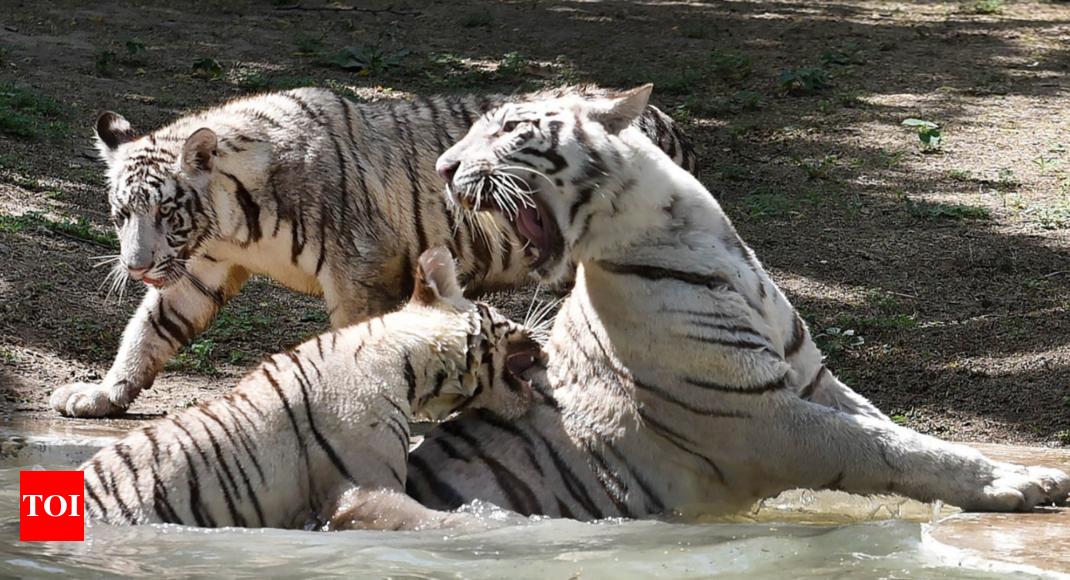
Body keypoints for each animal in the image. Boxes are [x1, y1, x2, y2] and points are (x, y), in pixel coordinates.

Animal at [48, 85, 693, 419]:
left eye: (165, 213)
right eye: (122, 214)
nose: (135, 266)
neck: (230, 222)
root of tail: (660, 117)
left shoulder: (359, 271)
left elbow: (357, 342)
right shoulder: (198, 270)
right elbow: (149, 330)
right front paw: (103, 394)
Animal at [402, 84, 1070, 515]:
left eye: (509, 128)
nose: (442, 166)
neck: (682, 229)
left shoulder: (812, 382)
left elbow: (902, 433)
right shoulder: (760, 418)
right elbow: (889, 447)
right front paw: (1018, 482)